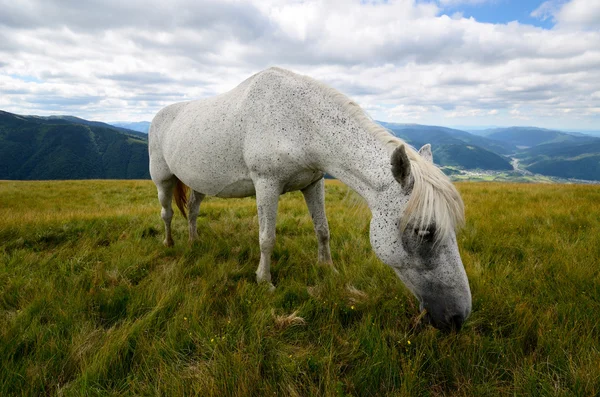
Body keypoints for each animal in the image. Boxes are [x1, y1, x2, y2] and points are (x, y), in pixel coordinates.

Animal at [148, 66, 472, 330]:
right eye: (424, 232)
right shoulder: (267, 184)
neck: (298, 120)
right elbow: (267, 238)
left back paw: (194, 241)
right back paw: (169, 243)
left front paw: (328, 268)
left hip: (199, 182)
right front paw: (264, 281)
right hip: (162, 179)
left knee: (192, 210)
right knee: (167, 213)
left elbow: (322, 229)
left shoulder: (314, 183)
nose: (458, 317)